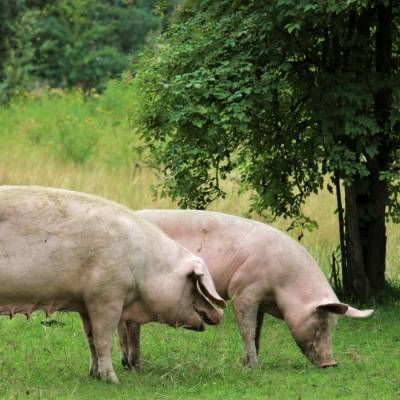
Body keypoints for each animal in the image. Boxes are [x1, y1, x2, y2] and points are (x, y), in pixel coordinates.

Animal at [0, 189, 225, 382]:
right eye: (192, 282)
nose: (219, 314)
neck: (145, 265)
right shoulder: (106, 295)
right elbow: (104, 340)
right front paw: (113, 380)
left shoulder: (85, 303)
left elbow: (90, 339)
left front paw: (94, 375)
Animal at [118, 211, 372, 370]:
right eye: (320, 321)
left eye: (334, 325)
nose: (331, 363)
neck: (284, 284)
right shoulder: (244, 290)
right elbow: (247, 329)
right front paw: (253, 366)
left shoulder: (260, 300)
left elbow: (257, 329)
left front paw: (248, 361)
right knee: (131, 325)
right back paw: (136, 366)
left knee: (125, 323)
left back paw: (128, 364)